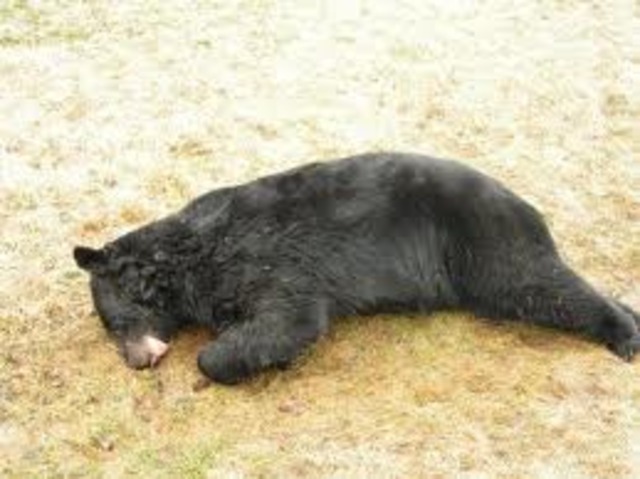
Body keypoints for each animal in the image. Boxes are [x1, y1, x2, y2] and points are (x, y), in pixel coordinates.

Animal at [73, 152, 640, 384]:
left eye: (113, 323)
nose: (137, 363)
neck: (186, 257)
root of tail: (524, 204)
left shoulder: (262, 258)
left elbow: (291, 317)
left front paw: (230, 360)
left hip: (486, 243)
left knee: (540, 285)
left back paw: (623, 333)